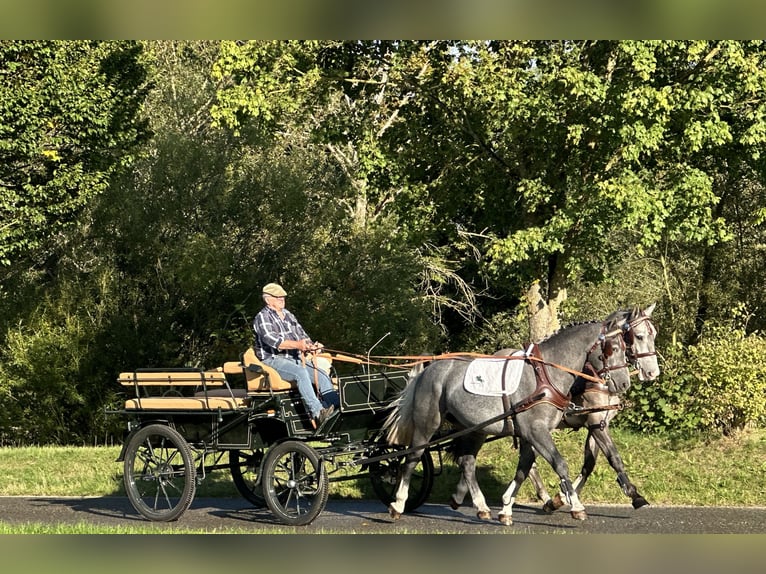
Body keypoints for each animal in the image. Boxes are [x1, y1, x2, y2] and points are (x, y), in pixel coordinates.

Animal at [388, 312, 632, 528]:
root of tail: (428, 369)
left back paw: (481, 507)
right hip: (427, 424)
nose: (624, 384)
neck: (545, 375)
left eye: (625, 348)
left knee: (467, 462)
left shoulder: (530, 434)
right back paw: (398, 504)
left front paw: (506, 510)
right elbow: (559, 464)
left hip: (475, 428)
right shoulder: (536, 431)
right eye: (612, 349)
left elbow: (524, 469)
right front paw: (576, 506)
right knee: (412, 457)